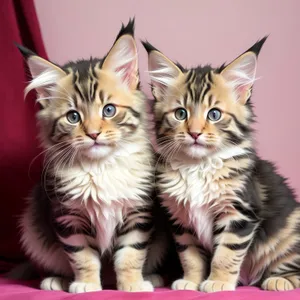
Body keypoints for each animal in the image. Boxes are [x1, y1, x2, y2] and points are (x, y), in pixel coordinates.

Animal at [16, 19, 164, 292]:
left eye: (109, 110)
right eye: (73, 117)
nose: (94, 134)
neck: (100, 167)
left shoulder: (137, 213)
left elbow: (130, 255)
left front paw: (132, 284)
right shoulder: (69, 217)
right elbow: (82, 257)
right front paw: (86, 285)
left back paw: (150, 278)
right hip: (32, 227)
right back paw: (58, 281)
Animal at [142, 36, 300, 292]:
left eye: (214, 114)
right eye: (180, 114)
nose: (194, 133)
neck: (197, 166)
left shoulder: (239, 212)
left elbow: (226, 254)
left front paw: (218, 282)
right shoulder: (181, 219)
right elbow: (190, 256)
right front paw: (191, 281)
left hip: (288, 232)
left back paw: (279, 280)